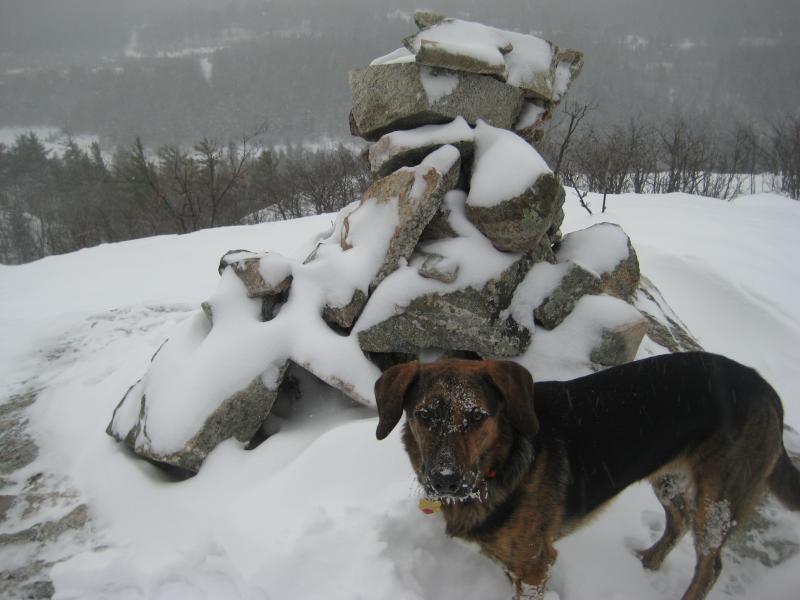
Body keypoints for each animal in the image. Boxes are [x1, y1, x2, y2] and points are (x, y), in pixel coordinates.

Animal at [376, 352, 800, 600]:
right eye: (424, 416)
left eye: (477, 417)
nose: (444, 480)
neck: (499, 464)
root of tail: (768, 392)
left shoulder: (536, 565)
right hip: (669, 476)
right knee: (677, 521)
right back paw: (648, 560)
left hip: (717, 500)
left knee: (710, 567)